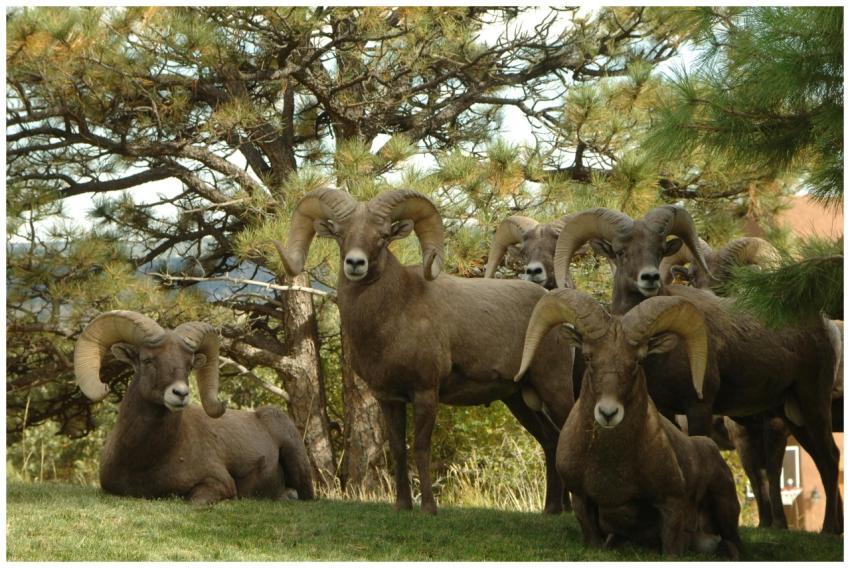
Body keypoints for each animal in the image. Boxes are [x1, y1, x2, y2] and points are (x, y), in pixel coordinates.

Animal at [73, 310, 314, 504]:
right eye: (147, 360)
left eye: (189, 365)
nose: (180, 393)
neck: (146, 460)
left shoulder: (218, 483)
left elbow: (194, 501)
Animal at [273, 188, 574, 514]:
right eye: (340, 234)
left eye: (383, 236)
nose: (355, 263)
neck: (394, 314)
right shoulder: (388, 398)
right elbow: (398, 450)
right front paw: (402, 505)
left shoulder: (425, 394)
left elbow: (420, 448)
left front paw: (429, 507)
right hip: (519, 399)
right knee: (550, 441)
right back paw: (551, 510)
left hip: (554, 388)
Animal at [515, 288, 742, 558]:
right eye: (588, 358)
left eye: (638, 361)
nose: (608, 412)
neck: (611, 465)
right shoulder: (581, 502)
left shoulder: (672, 505)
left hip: (725, 505)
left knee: (732, 543)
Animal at [551, 206, 843, 534]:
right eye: (621, 252)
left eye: (658, 249)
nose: (650, 278)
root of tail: (822, 324)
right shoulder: (666, 412)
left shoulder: (699, 406)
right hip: (792, 414)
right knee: (821, 458)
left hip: (812, 401)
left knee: (830, 458)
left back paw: (829, 530)